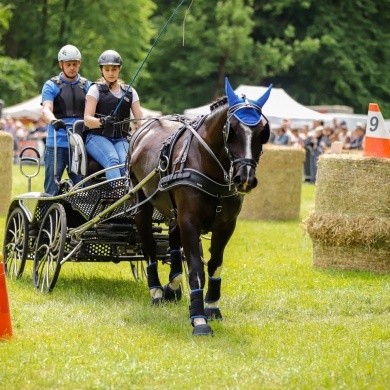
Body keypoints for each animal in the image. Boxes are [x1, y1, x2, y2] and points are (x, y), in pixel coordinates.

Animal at [128, 78, 272, 336]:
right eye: (232, 130)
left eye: (262, 132)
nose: (244, 178)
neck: (209, 164)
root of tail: (145, 128)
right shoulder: (190, 221)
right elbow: (196, 269)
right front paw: (199, 318)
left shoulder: (226, 225)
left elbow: (214, 265)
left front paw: (212, 306)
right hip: (141, 203)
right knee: (149, 246)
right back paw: (156, 290)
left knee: (174, 241)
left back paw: (172, 286)